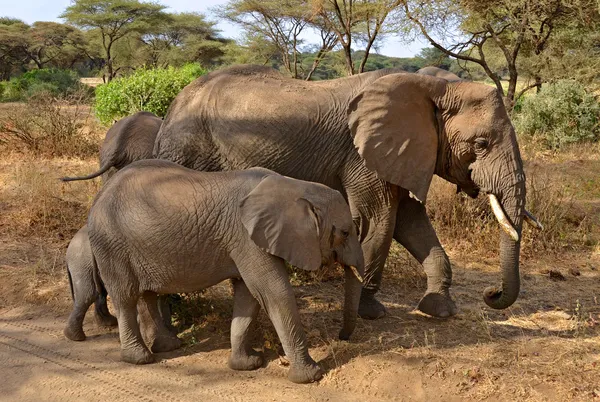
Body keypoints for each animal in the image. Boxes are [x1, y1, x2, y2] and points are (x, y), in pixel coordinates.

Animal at [86, 160, 364, 384]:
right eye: (345, 233)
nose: (343, 337)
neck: (293, 186)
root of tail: (99, 194)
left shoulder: (246, 242)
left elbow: (248, 296)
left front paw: (248, 365)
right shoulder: (246, 237)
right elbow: (273, 292)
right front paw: (311, 376)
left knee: (146, 295)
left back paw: (168, 346)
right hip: (111, 242)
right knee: (126, 296)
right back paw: (140, 358)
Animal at [155, 64, 540, 318]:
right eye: (481, 144)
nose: (492, 293)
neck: (432, 86)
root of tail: (176, 102)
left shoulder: (401, 151)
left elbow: (411, 223)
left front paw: (439, 309)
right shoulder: (361, 153)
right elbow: (380, 221)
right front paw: (370, 312)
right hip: (187, 147)